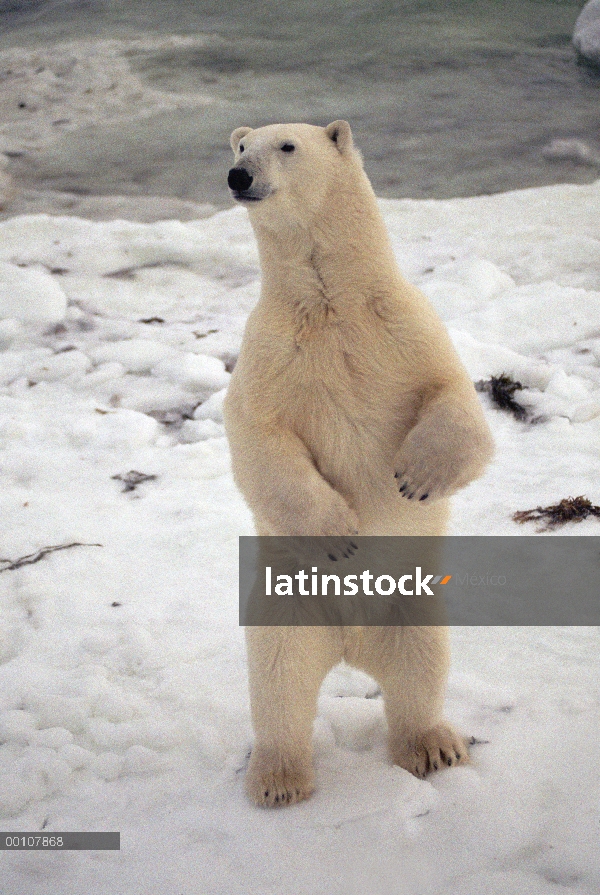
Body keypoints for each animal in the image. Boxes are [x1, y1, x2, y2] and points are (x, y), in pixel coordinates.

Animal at [223, 122, 494, 808]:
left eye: (286, 146)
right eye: (239, 148)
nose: (239, 177)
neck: (332, 306)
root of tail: (349, 645)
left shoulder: (406, 329)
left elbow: (457, 402)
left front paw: (414, 479)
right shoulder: (271, 352)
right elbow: (259, 437)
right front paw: (340, 534)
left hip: (411, 605)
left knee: (420, 668)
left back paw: (433, 747)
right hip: (288, 608)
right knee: (281, 682)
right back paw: (280, 779)